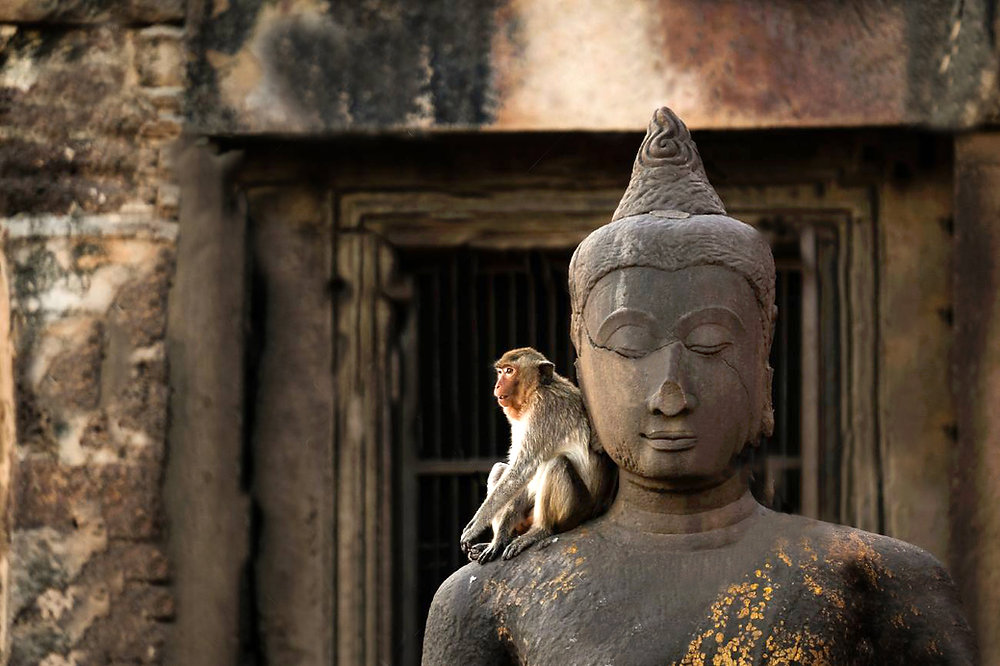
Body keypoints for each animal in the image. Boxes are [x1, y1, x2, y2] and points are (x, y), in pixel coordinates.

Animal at [460, 347, 616, 564]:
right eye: (500, 371)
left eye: (510, 371)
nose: (497, 385)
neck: (535, 391)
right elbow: (517, 477)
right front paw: (498, 539)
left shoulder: (543, 409)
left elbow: (521, 471)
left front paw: (474, 527)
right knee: (501, 469)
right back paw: (504, 537)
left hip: (576, 512)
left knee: (556, 463)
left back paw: (540, 531)